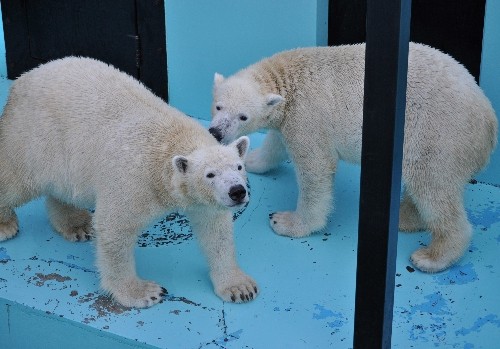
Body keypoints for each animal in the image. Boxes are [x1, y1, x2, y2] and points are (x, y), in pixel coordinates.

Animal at [0, 57, 258, 308]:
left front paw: (239, 287)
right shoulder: (135, 179)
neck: (169, 144)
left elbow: (215, 230)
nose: (237, 192)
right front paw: (144, 292)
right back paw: (6, 225)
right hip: (35, 136)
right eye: (210, 174)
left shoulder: (203, 200)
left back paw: (77, 225)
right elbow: (115, 228)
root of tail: (23, 80)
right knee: (15, 179)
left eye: (238, 167)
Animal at [209, 42, 498, 272]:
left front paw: (287, 222)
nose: (216, 132)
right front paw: (253, 160)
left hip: (438, 133)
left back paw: (431, 256)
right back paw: (402, 218)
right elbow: (276, 143)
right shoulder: (290, 118)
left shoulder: (307, 114)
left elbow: (315, 169)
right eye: (218, 106)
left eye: (243, 116)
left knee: (432, 186)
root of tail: (489, 121)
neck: (288, 78)